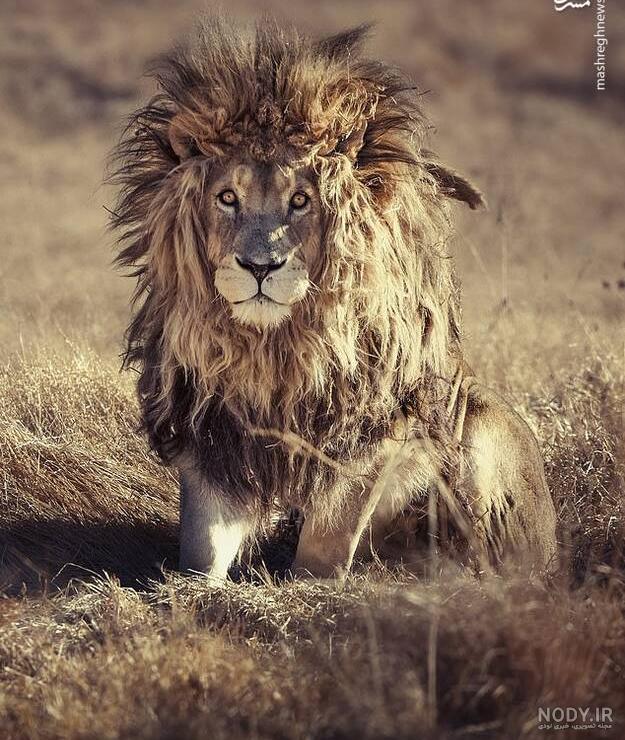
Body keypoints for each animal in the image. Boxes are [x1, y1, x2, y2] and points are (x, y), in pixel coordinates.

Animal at [110, 19, 557, 580]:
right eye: (227, 198)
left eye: (301, 200)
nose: (260, 266)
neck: (271, 353)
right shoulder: (215, 439)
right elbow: (203, 548)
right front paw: (190, 589)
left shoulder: (366, 441)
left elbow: (323, 548)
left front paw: (309, 588)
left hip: (478, 431)